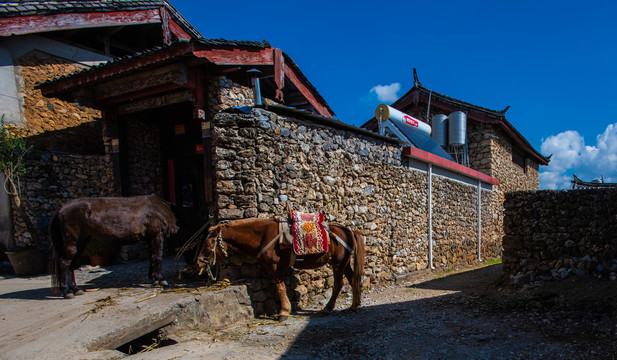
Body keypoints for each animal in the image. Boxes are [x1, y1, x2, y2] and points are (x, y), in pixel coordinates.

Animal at [49, 194, 178, 298]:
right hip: (72, 240)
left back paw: (76, 289)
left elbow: (152, 258)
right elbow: (158, 257)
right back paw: (66, 292)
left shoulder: (151, 238)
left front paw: (154, 279)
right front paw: (161, 280)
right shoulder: (157, 235)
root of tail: (61, 209)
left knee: (72, 264)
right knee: (64, 263)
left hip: (81, 241)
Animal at [195, 217, 364, 320]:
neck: (263, 236)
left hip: (338, 263)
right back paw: (354, 306)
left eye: (209, 243)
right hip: (344, 262)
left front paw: (283, 312)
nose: (199, 262)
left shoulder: (274, 266)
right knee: (353, 279)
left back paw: (328, 308)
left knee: (338, 284)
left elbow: (280, 287)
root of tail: (350, 231)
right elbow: (281, 287)